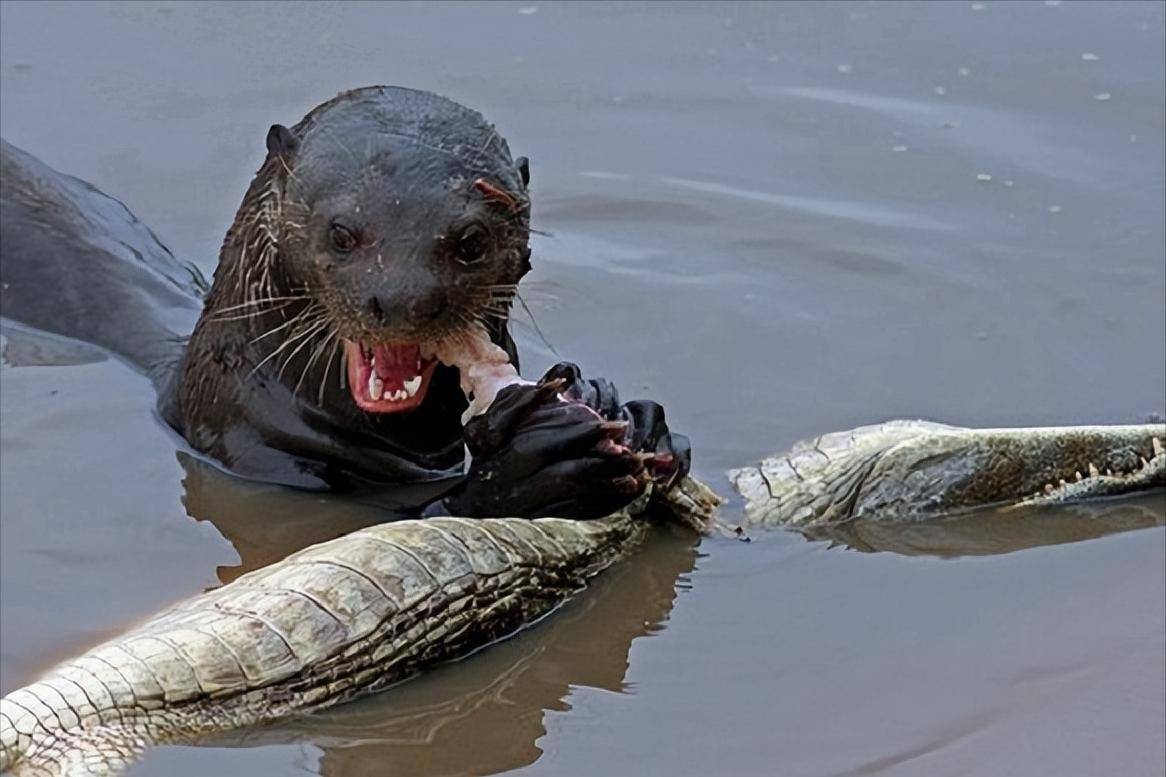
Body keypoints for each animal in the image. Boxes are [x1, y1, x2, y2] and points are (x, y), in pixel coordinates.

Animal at [0, 86, 685, 513]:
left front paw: (626, 410)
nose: (404, 300)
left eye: (471, 240)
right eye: (342, 232)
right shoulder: (254, 455)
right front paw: (531, 470)